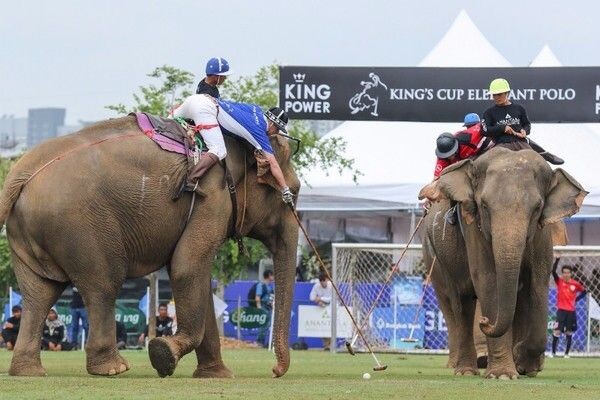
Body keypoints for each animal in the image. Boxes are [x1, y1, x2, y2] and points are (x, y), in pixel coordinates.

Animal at [0, 115, 300, 378]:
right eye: (293, 192)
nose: (274, 371)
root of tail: (20, 173)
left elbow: (197, 280)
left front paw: (217, 375)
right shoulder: (213, 199)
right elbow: (186, 268)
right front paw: (163, 354)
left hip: (32, 235)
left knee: (40, 293)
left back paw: (28, 371)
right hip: (81, 226)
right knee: (104, 285)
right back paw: (113, 369)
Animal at [422, 147, 584, 378]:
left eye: (538, 207)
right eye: (484, 206)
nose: (485, 322)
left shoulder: (542, 234)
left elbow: (538, 283)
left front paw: (524, 363)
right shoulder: (474, 228)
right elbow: (488, 280)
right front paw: (503, 375)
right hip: (439, 256)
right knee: (460, 303)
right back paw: (466, 371)